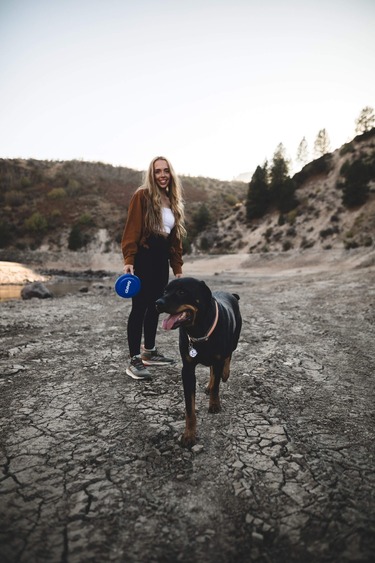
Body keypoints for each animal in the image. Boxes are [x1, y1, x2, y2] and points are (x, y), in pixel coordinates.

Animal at [155, 278, 241, 450]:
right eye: (165, 291)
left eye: (182, 291)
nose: (158, 302)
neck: (199, 330)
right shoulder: (187, 369)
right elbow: (189, 408)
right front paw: (189, 435)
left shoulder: (219, 358)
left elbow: (217, 385)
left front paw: (214, 404)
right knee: (212, 370)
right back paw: (209, 384)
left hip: (234, 340)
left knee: (228, 356)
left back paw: (225, 374)